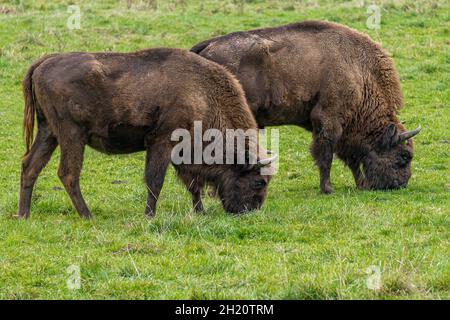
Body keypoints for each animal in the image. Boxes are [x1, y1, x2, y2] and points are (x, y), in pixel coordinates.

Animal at [18, 48, 274, 220]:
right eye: (258, 182)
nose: (250, 211)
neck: (202, 95)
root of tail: (43, 63)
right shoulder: (162, 142)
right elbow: (155, 180)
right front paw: (149, 215)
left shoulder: (183, 154)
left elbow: (193, 184)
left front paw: (199, 212)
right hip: (71, 134)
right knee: (68, 173)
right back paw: (87, 215)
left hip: (48, 132)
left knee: (30, 166)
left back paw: (24, 215)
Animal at [191, 21, 422, 195]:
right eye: (404, 156)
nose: (400, 184)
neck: (358, 73)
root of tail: (206, 46)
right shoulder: (329, 119)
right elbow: (326, 155)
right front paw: (328, 189)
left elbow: (350, 158)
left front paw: (361, 184)